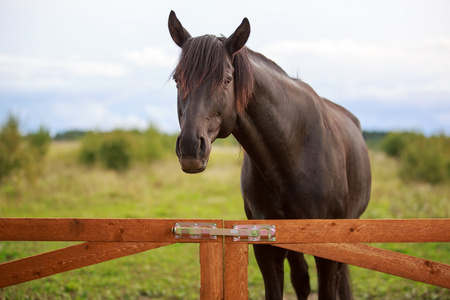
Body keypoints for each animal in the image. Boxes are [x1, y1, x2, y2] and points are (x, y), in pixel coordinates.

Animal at [167, 10, 370, 298]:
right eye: (177, 80)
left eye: (227, 80)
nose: (189, 148)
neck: (293, 154)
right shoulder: (265, 247)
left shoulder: (327, 248)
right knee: (301, 279)